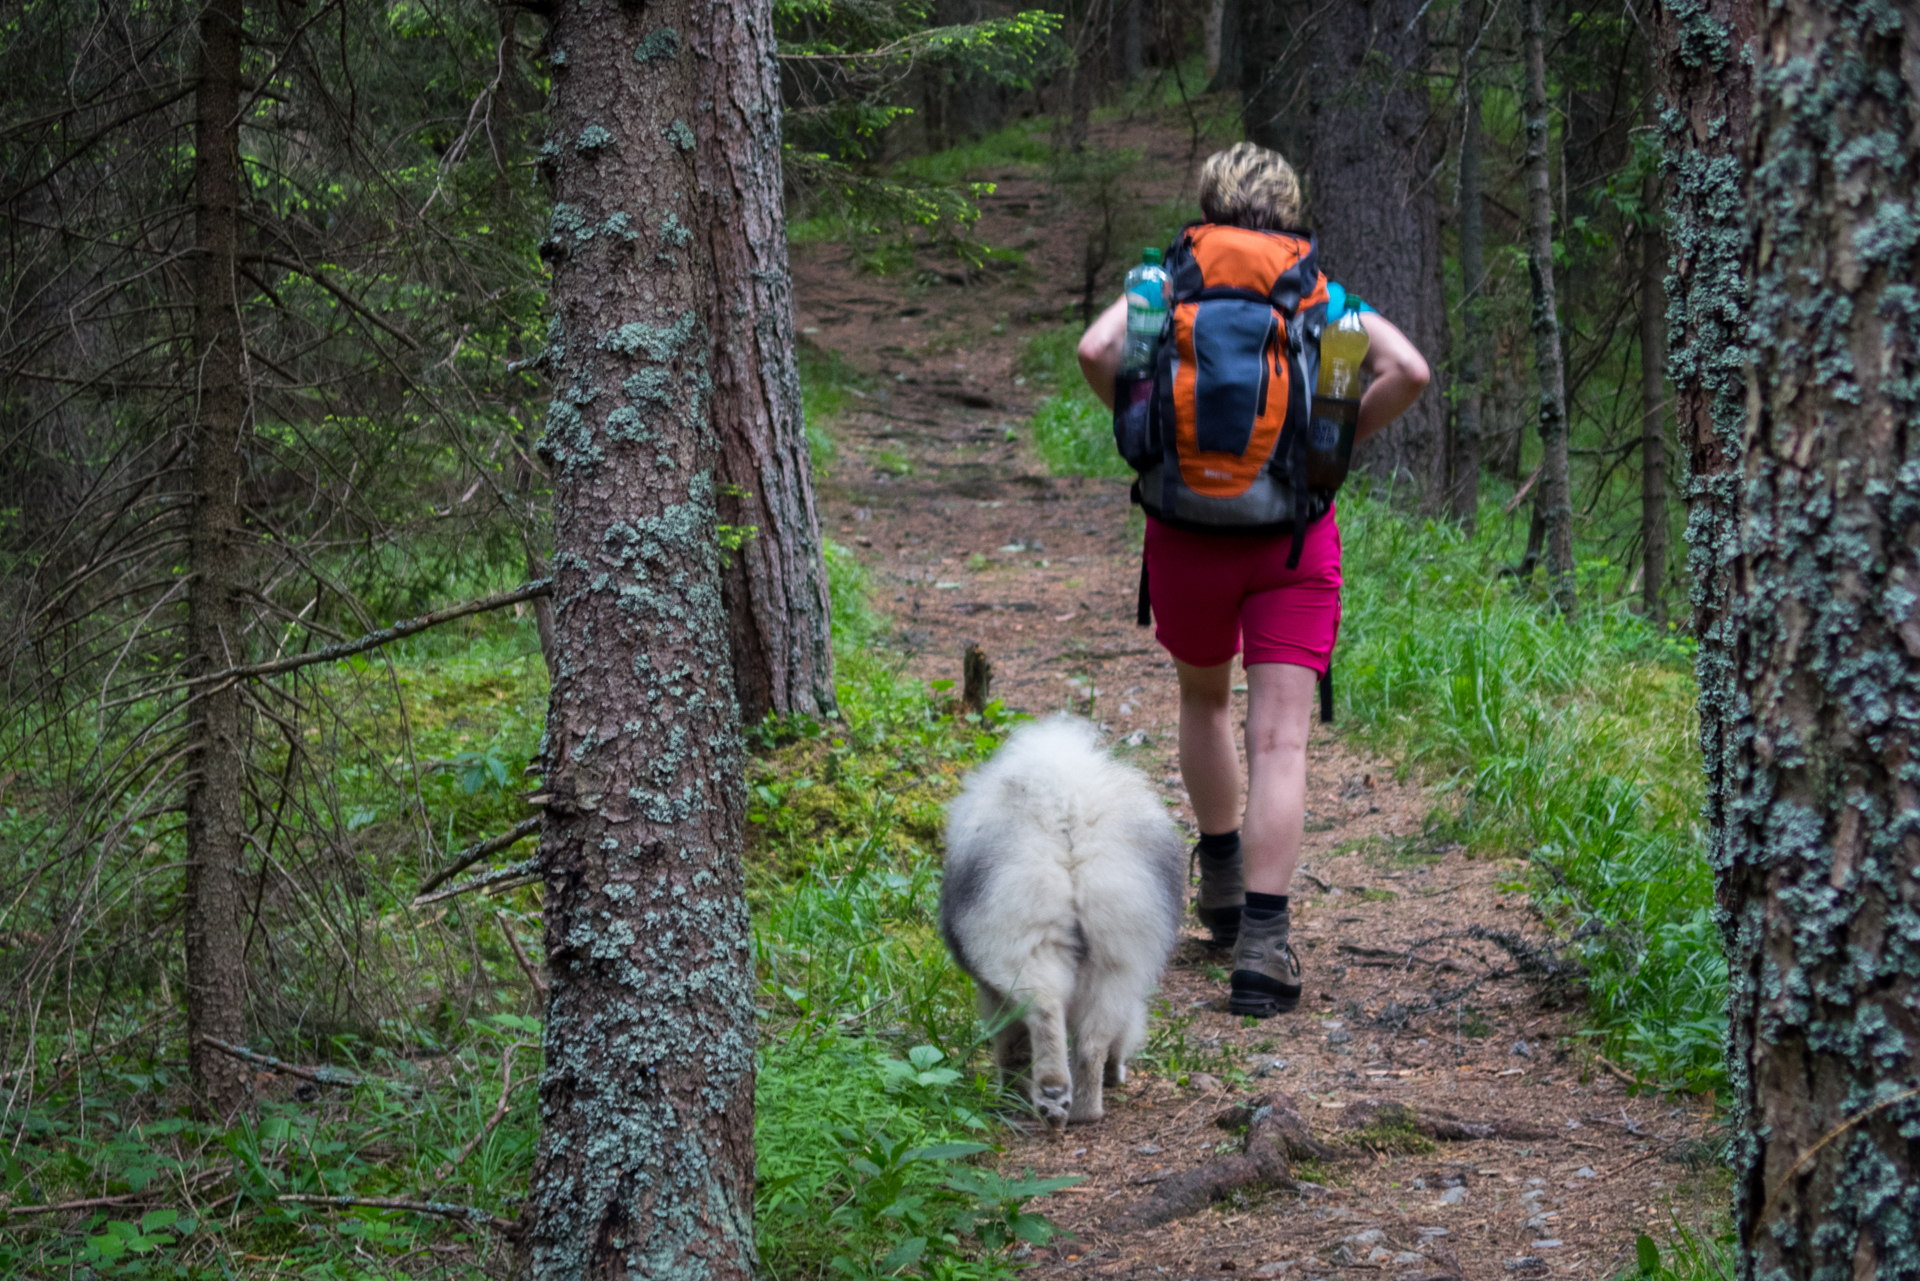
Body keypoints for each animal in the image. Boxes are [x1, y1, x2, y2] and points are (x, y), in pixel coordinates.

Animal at [933, 718, 1182, 1129]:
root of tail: (1068, 825)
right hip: (1114, 960)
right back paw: (1083, 1108)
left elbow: (1010, 1044)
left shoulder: (991, 991)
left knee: (1046, 1013)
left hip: (1028, 945)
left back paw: (1051, 1093)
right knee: (1091, 1042)